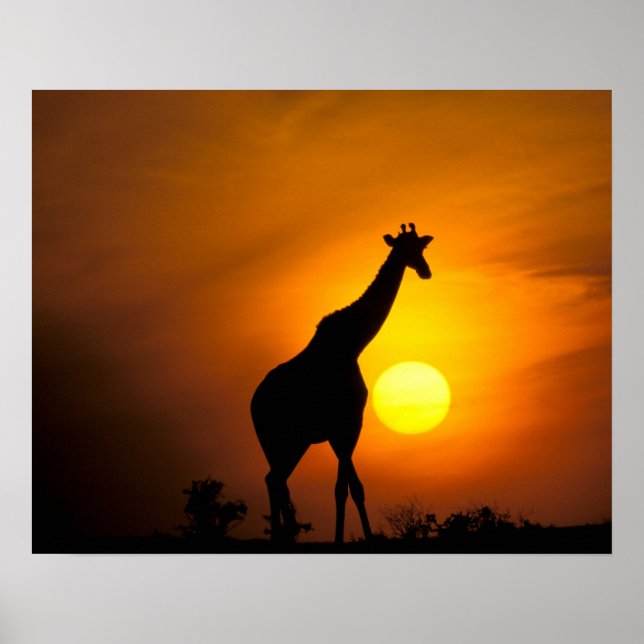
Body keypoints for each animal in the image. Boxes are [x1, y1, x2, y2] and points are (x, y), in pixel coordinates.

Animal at [251, 223, 433, 543]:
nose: (425, 271)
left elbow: (346, 488)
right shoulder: (346, 423)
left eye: (421, 247)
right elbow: (350, 488)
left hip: (285, 442)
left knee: (275, 480)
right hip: (284, 439)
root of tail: (253, 405)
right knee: (276, 480)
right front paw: (360, 538)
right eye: (406, 248)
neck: (353, 343)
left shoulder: (343, 427)